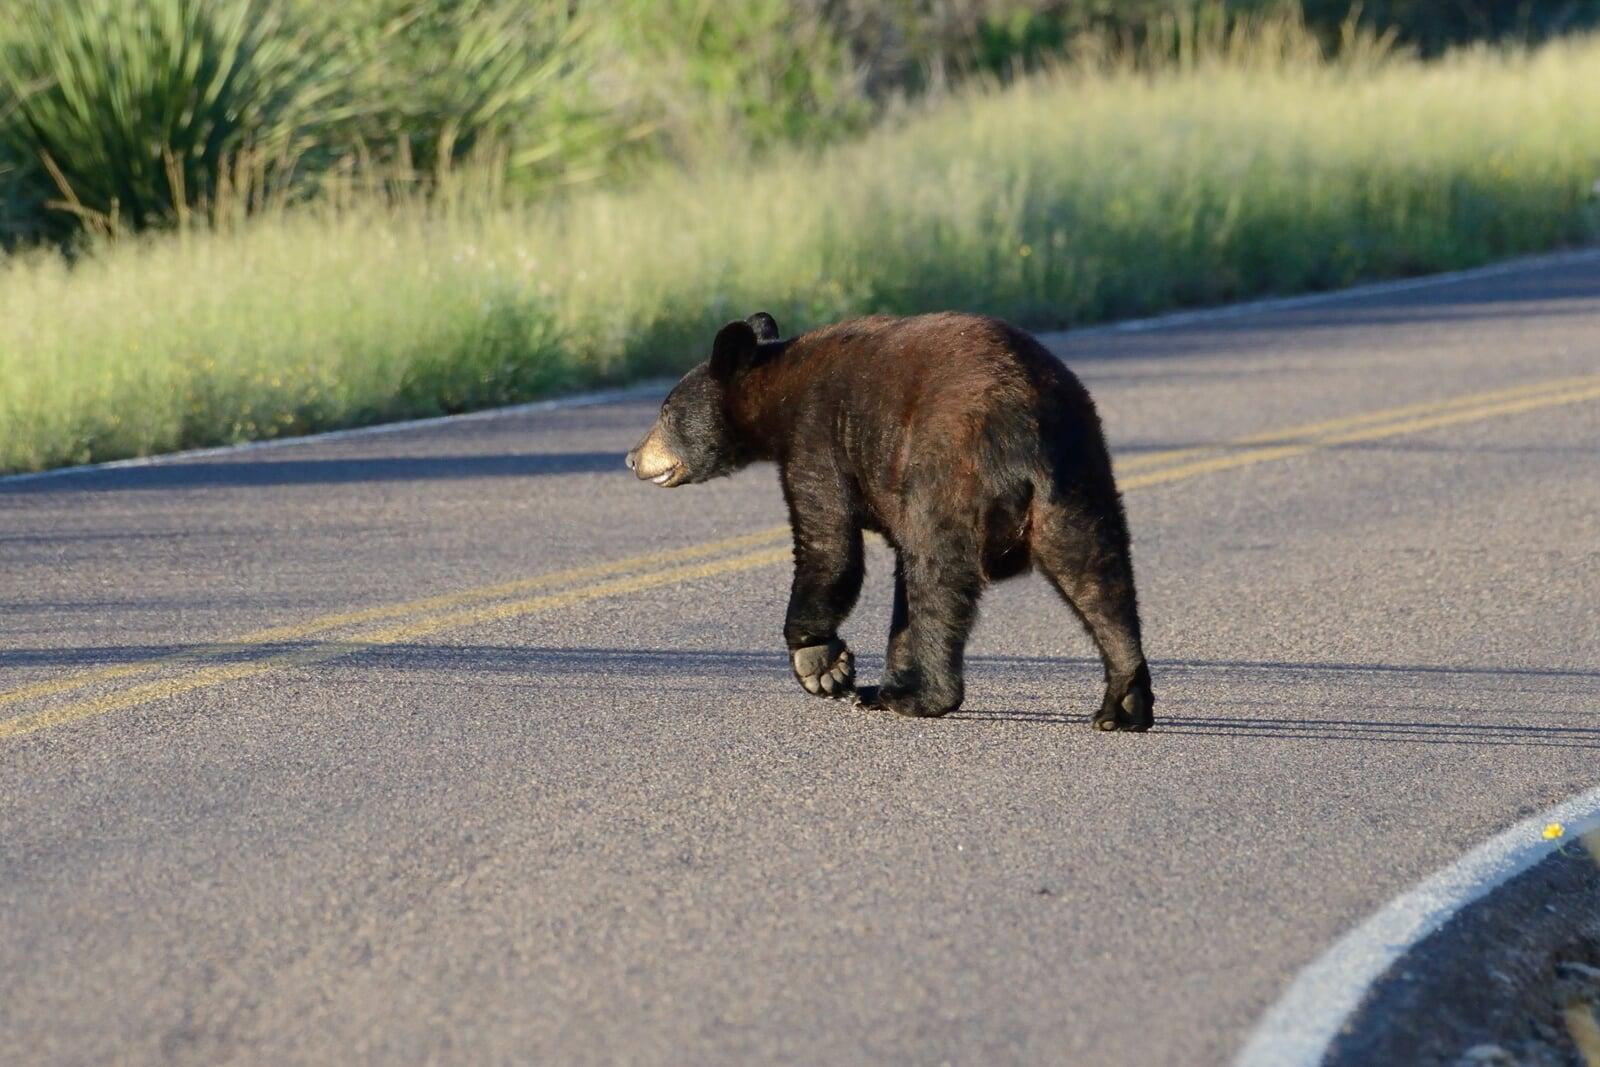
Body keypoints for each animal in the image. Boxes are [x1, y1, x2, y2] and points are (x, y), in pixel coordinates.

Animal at [620, 307, 1152, 726]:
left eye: (666, 412)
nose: (631, 456)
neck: (780, 393)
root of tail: (1025, 427)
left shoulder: (817, 441)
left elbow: (829, 547)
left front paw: (821, 663)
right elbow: (898, 587)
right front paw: (879, 682)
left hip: (949, 470)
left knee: (938, 578)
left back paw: (927, 698)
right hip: (1079, 473)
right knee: (1097, 572)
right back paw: (1124, 699)